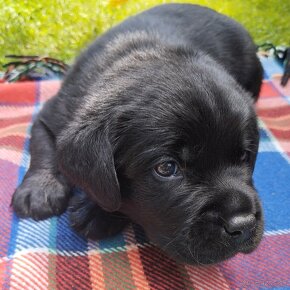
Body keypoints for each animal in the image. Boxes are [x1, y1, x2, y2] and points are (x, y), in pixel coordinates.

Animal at [12, 2, 264, 266]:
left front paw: (98, 212)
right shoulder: (53, 112)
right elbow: (45, 146)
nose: (243, 224)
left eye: (244, 156)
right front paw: (40, 189)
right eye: (167, 168)